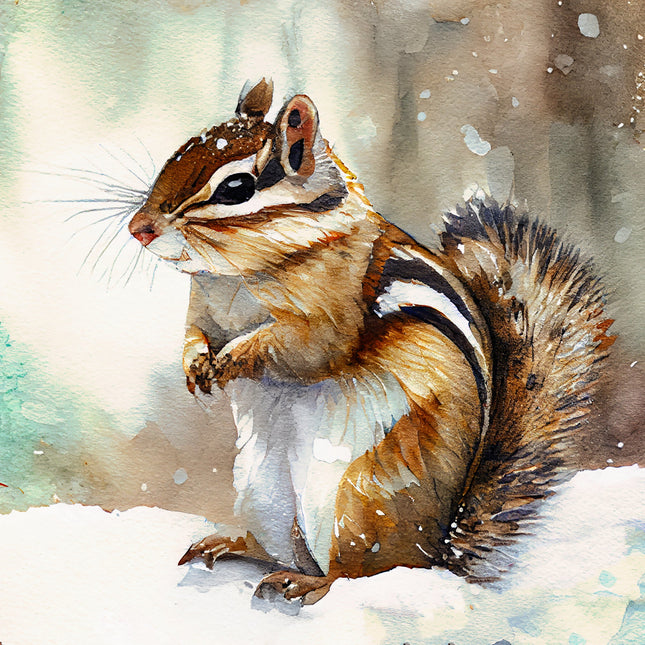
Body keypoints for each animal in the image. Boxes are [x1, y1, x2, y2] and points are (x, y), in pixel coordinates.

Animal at [128, 79, 614, 605]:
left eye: (235, 188)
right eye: (180, 152)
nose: (138, 228)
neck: (234, 278)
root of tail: (441, 545)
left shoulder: (331, 314)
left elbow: (305, 350)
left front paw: (233, 358)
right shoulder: (204, 310)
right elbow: (194, 337)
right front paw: (196, 365)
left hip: (361, 496)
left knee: (356, 570)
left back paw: (308, 582)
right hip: (263, 491)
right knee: (280, 546)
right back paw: (233, 543)